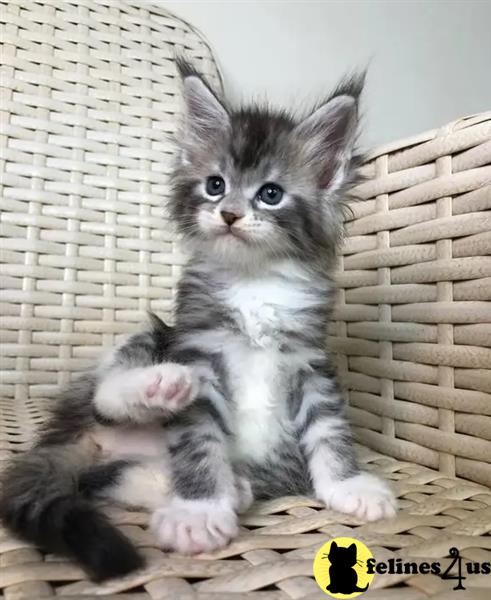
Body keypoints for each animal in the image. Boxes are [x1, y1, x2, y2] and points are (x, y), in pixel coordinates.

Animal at [0, 58, 396, 580]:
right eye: (215, 185)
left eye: (270, 194)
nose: (228, 214)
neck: (254, 281)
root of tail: (79, 435)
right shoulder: (199, 348)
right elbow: (199, 439)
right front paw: (198, 512)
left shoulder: (309, 361)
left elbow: (329, 428)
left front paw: (350, 485)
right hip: (148, 341)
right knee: (108, 400)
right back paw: (159, 389)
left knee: (102, 478)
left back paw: (232, 486)